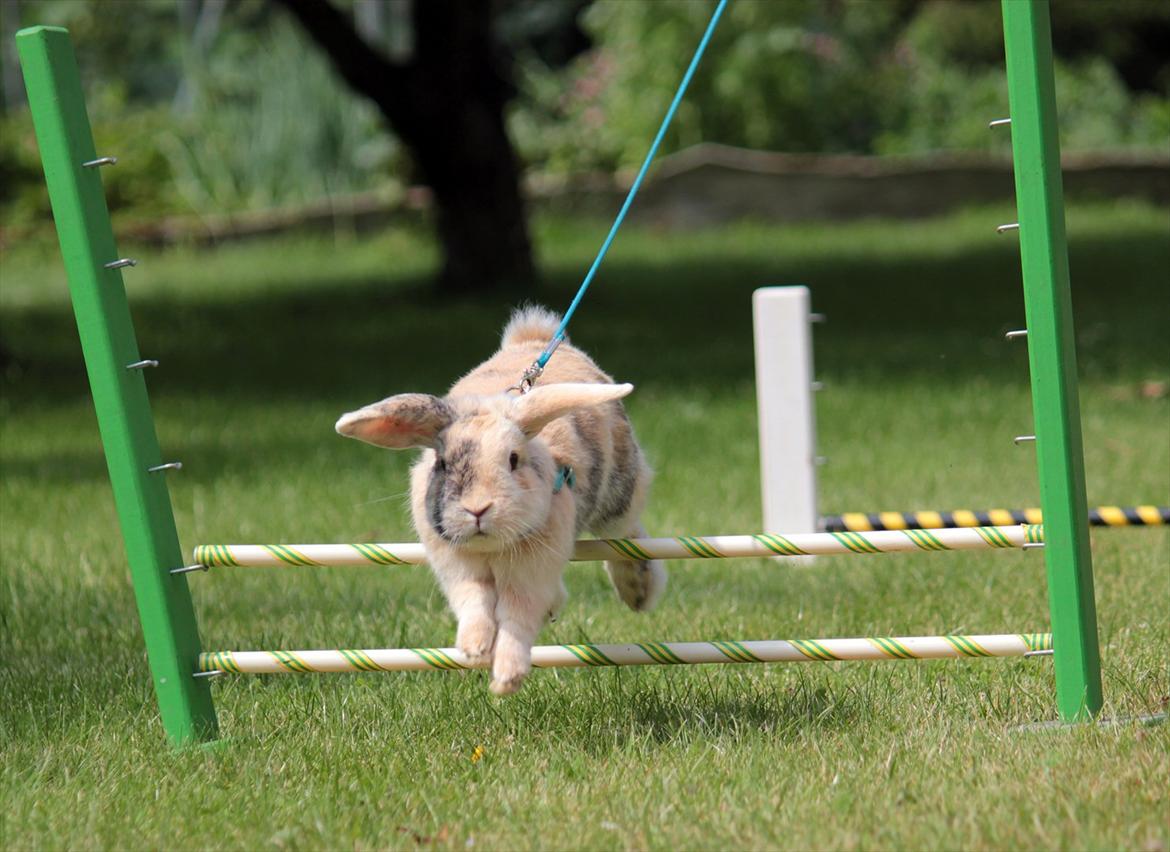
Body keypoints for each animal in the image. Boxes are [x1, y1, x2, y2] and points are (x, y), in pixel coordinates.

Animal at [339, 306, 669, 692]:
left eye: (513, 459)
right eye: (442, 463)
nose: (478, 508)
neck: (491, 548)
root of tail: (532, 340)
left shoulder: (531, 571)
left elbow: (517, 617)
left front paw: (507, 678)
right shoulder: (458, 567)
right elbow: (475, 602)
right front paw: (474, 649)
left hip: (619, 494)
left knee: (626, 534)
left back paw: (638, 588)